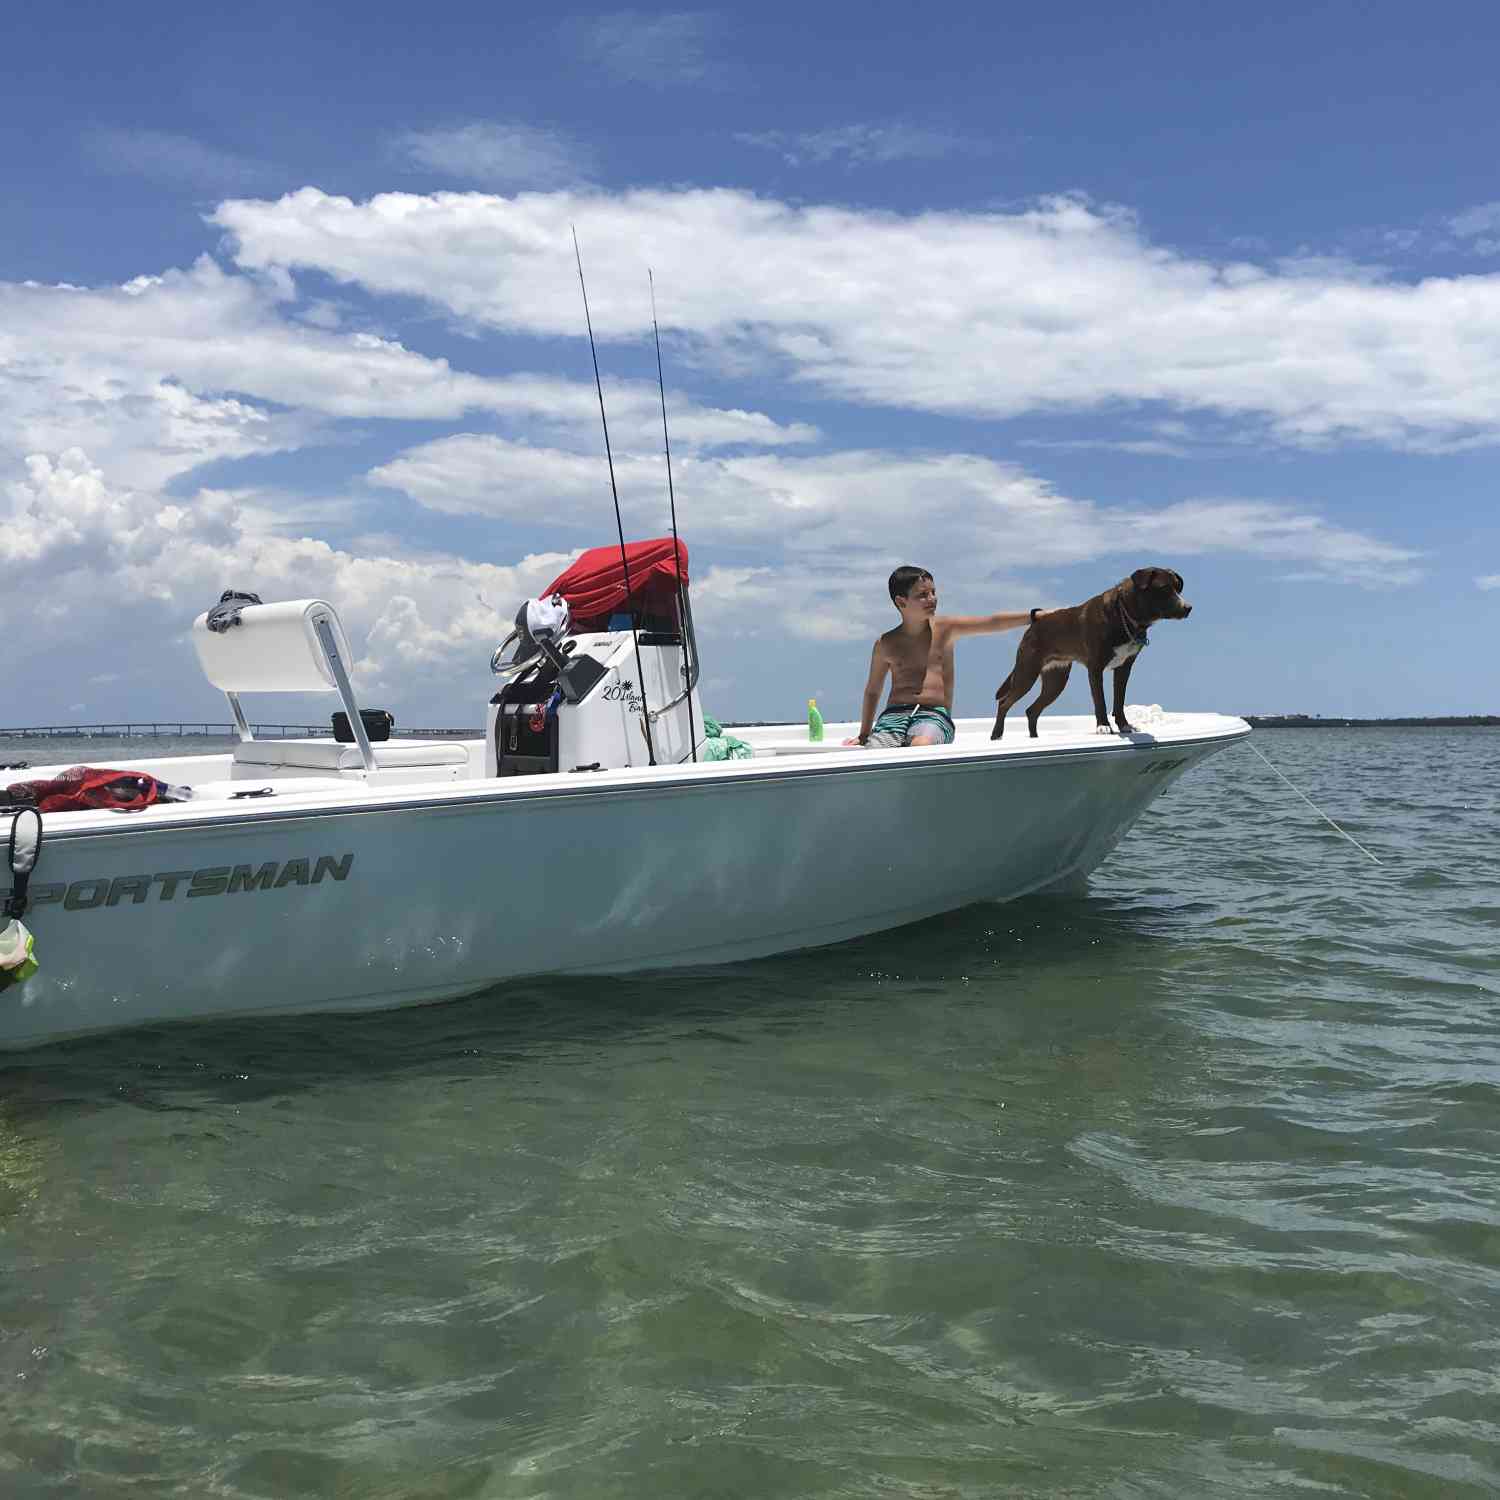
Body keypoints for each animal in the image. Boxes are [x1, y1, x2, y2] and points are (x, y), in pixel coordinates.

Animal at [990, 567, 1188, 738]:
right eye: (1163, 588)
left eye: (1178, 587)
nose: (1188, 608)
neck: (1124, 614)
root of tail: (1035, 623)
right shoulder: (1095, 667)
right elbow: (1100, 700)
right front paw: (1103, 726)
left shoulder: (1124, 668)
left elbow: (1119, 700)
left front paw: (1124, 725)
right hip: (1027, 672)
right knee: (1004, 702)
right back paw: (997, 735)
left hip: (1056, 680)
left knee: (1031, 710)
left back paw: (1034, 738)